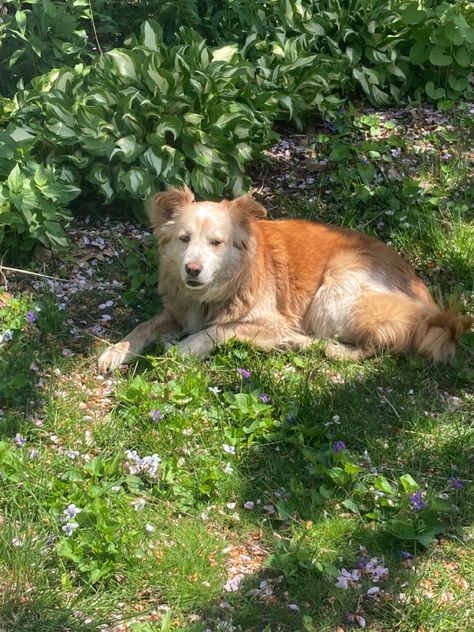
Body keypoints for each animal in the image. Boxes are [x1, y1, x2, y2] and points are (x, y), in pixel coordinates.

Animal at [98, 185, 472, 372]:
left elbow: (221, 329)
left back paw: (306, 344)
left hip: (336, 287)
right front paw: (115, 351)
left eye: (216, 242)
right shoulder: (178, 311)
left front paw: (187, 347)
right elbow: (143, 326)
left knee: (380, 342)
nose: (192, 270)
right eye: (184, 239)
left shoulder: (271, 319)